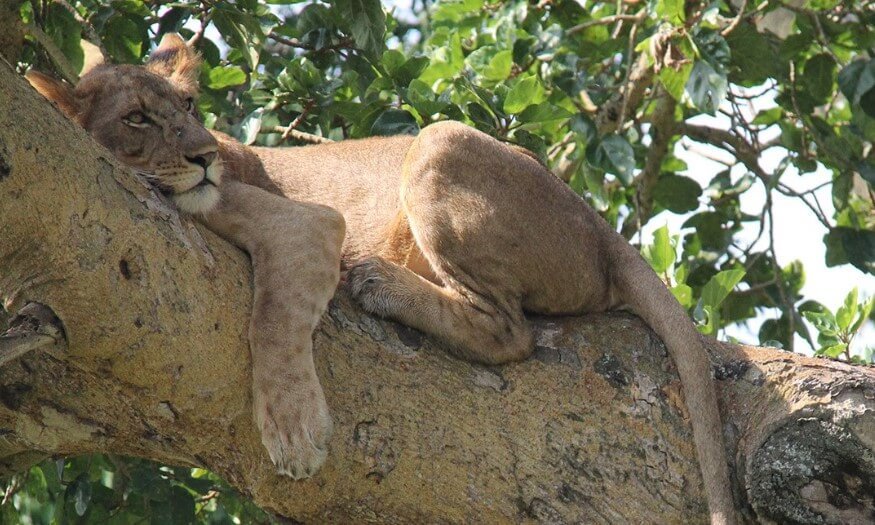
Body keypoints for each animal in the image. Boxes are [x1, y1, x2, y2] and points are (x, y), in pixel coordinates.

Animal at [31, 34, 737, 523]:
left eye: (189, 105)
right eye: (137, 118)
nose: (204, 157)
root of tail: (598, 223)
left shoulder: (310, 222)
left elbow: (274, 320)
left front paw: (294, 432)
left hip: (438, 143)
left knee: (511, 334)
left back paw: (381, 283)